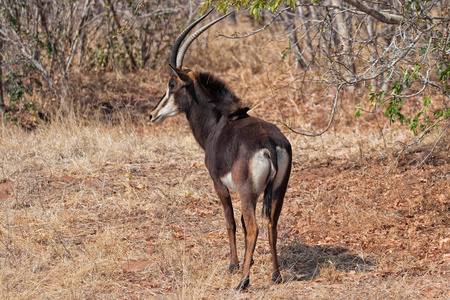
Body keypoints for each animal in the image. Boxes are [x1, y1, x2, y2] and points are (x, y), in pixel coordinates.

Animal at [149, 9, 294, 290]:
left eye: (171, 85)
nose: (152, 114)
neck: (220, 121)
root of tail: (269, 144)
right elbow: (242, 223)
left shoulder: (218, 183)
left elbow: (231, 222)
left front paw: (233, 265)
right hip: (278, 189)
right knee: (272, 223)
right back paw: (276, 275)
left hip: (248, 192)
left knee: (254, 227)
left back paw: (243, 281)